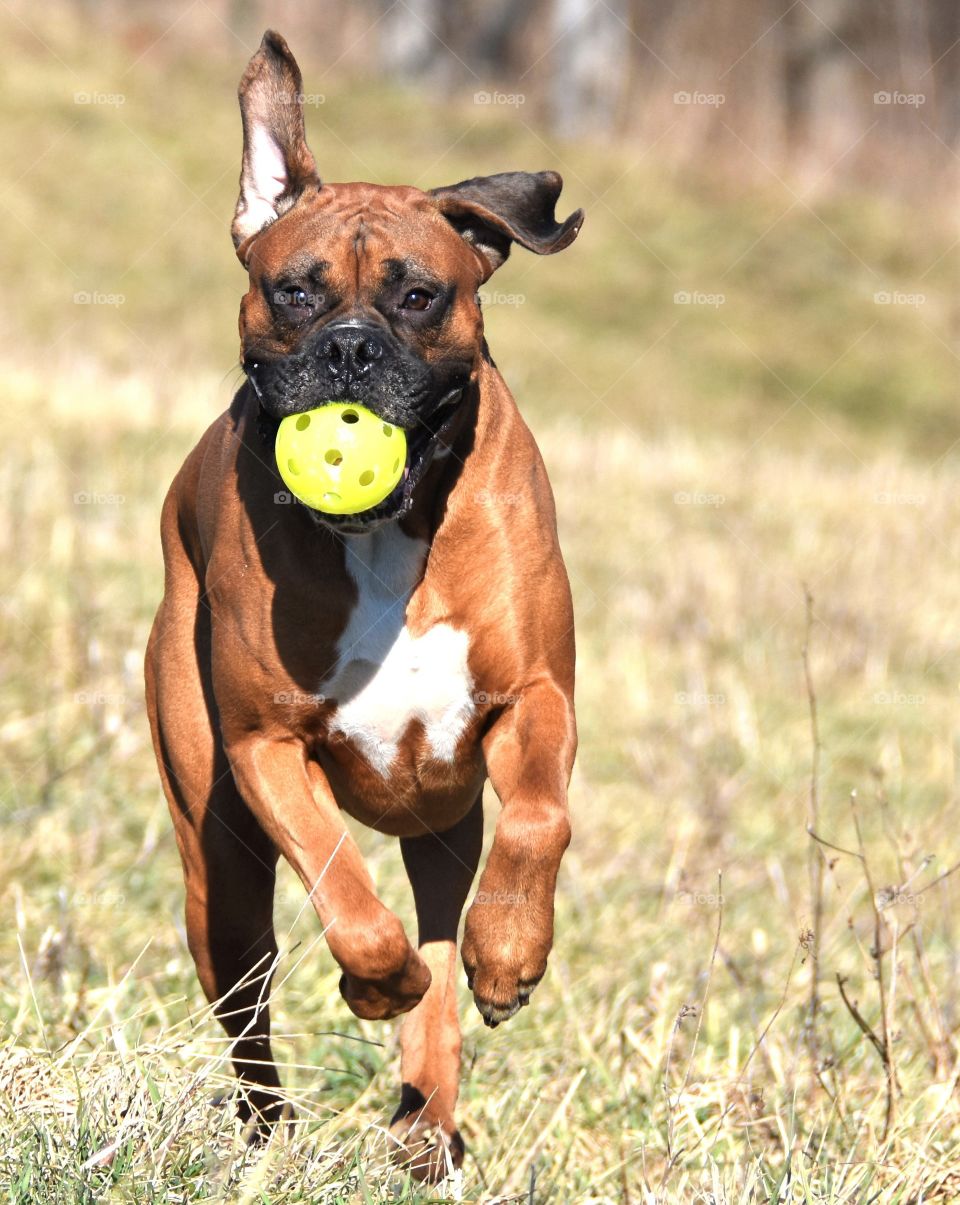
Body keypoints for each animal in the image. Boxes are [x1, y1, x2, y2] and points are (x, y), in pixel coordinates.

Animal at [142, 30, 575, 1185]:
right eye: (294, 290)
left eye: (419, 295)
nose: (347, 346)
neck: (388, 535)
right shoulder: (264, 745)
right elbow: (340, 879)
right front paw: (372, 979)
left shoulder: (534, 699)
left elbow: (541, 819)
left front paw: (510, 954)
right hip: (219, 880)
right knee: (255, 1011)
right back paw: (273, 1134)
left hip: (442, 828)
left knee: (441, 948)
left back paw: (428, 1116)